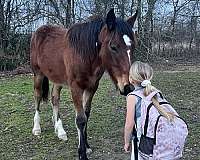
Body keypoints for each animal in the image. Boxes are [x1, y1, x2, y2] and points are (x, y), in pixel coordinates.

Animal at [30, 9, 138, 160]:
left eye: (132, 47)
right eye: (113, 47)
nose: (128, 87)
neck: (85, 55)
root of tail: (39, 31)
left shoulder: (92, 87)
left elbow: (86, 115)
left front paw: (86, 147)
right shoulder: (76, 88)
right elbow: (81, 120)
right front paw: (82, 153)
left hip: (58, 78)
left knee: (55, 98)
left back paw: (60, 130)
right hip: (38, 75)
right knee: (38, 96)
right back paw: (36, 128)